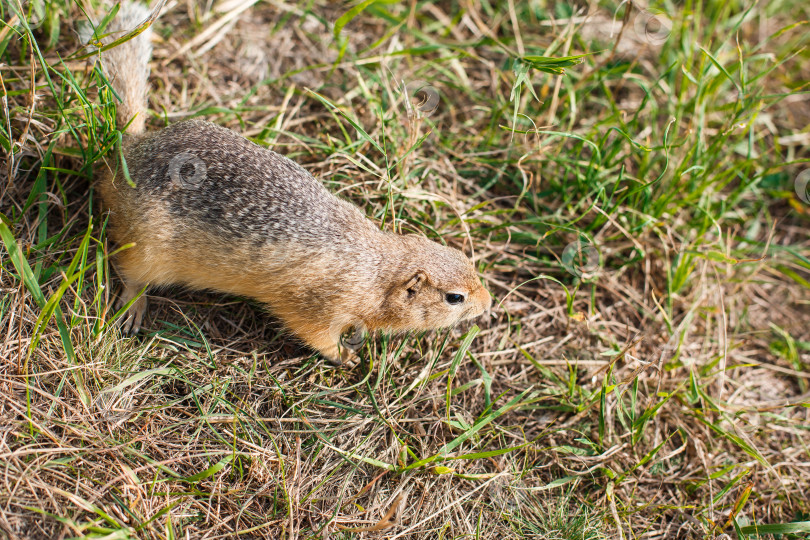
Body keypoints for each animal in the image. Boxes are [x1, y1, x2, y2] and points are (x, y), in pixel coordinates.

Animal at [96, 3, 486, 362]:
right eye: (455, 297)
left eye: (466, 258)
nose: (488, 303)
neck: (375, 268)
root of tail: (132, 148)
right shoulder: (319, 306)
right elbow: (315, 332)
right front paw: (346, 356)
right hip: (145, 247)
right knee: (129, 271)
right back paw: (133, 306)